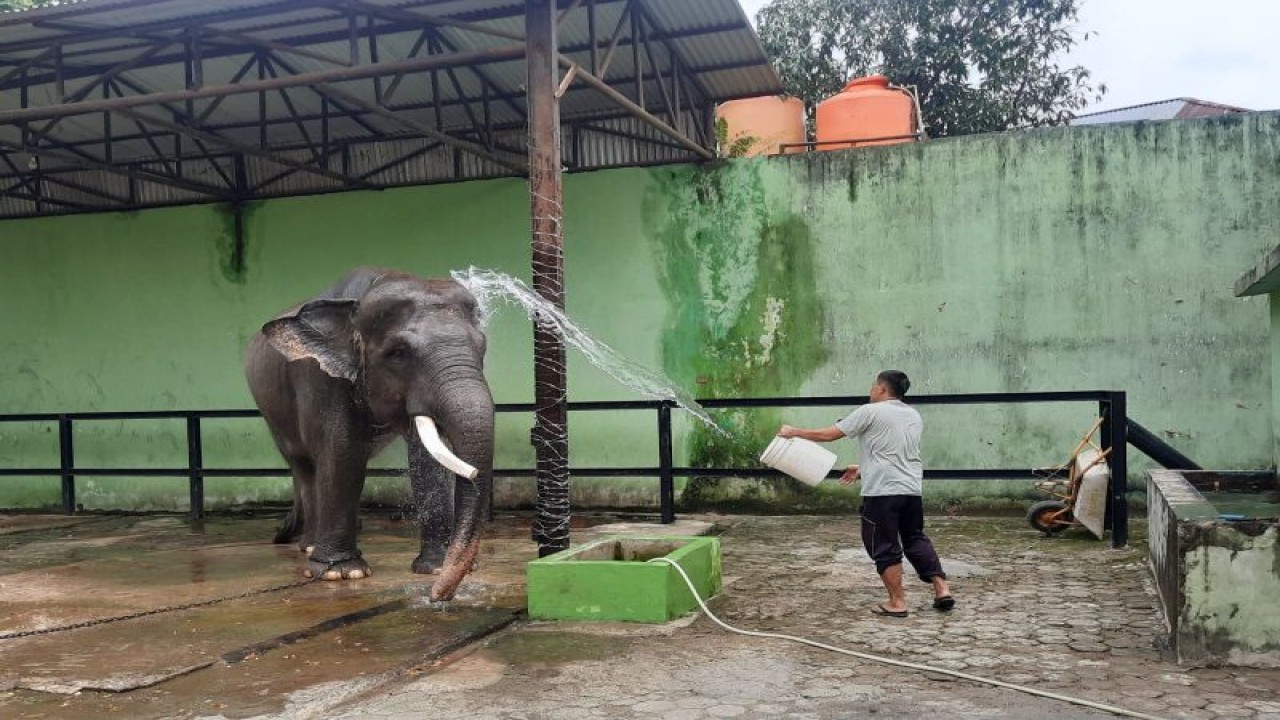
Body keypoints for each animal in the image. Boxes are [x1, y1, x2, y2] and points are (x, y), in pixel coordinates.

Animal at [245, 265, 494, 599]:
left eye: (482, 347)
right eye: (399, 352)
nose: (438, 596)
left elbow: (428, 459)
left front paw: (435, 567)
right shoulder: (324, 377)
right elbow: (342, 450)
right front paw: (342, 573)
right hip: (273, 411)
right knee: (304, 465)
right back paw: (309, 547)